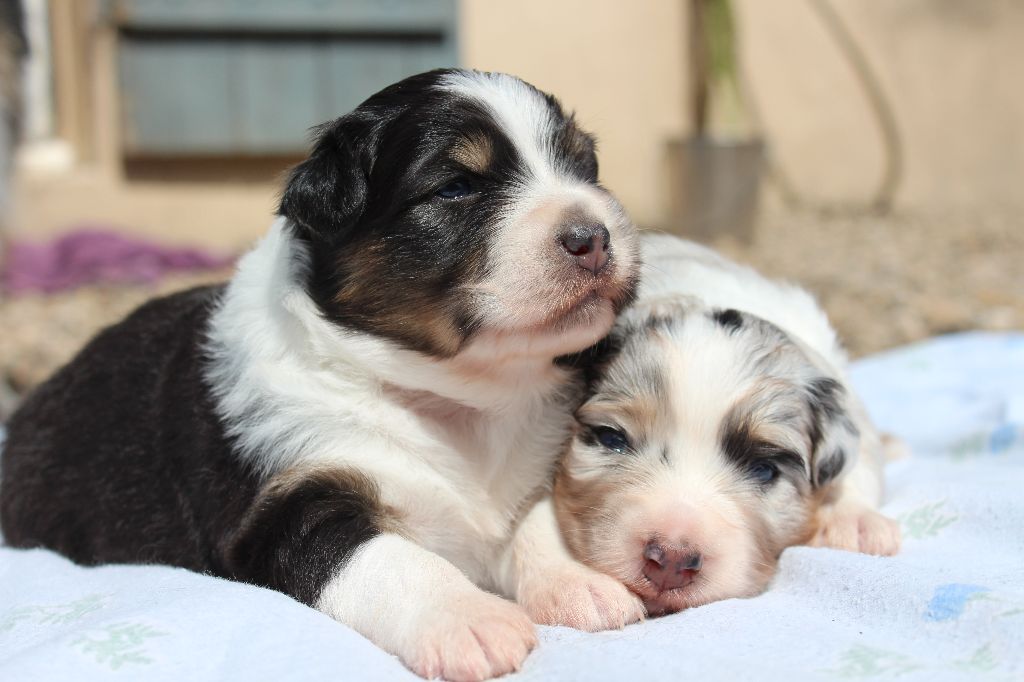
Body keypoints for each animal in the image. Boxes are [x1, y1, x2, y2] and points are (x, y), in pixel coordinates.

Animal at [0, 70, 638, 679]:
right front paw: (471, 620)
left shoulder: (535, 471)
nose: (592, 237)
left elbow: (538, 522)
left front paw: (582, 586)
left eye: (584, 168)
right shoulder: (285, 510)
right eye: (456, 187)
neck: (455, 397)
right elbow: (389, 559)